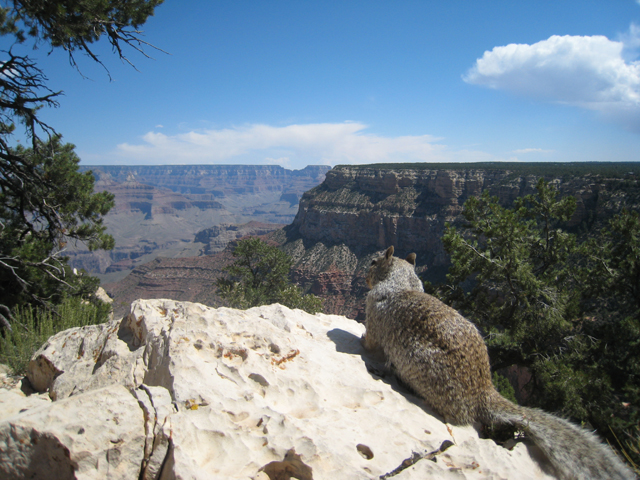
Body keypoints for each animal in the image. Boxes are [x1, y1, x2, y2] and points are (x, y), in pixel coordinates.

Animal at [362, 248, 636, 480]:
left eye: (373, 262)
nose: (365, 276)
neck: (402, 282)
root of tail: (484, 393)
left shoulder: (374, 313)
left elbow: (371, 341)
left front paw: (363, 340)